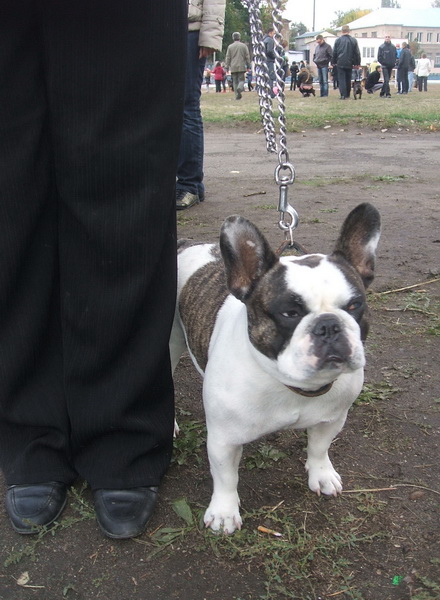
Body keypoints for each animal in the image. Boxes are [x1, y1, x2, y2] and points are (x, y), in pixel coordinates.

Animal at [170, 203, 381, 534]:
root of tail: (186, 244)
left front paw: (321, 474)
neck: (293, 385)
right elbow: (225, 477)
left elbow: (320, 448)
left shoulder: (332, 419)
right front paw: (224, 512)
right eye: (289, 313)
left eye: (354, 306)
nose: (328, 325)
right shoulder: (223, 439)